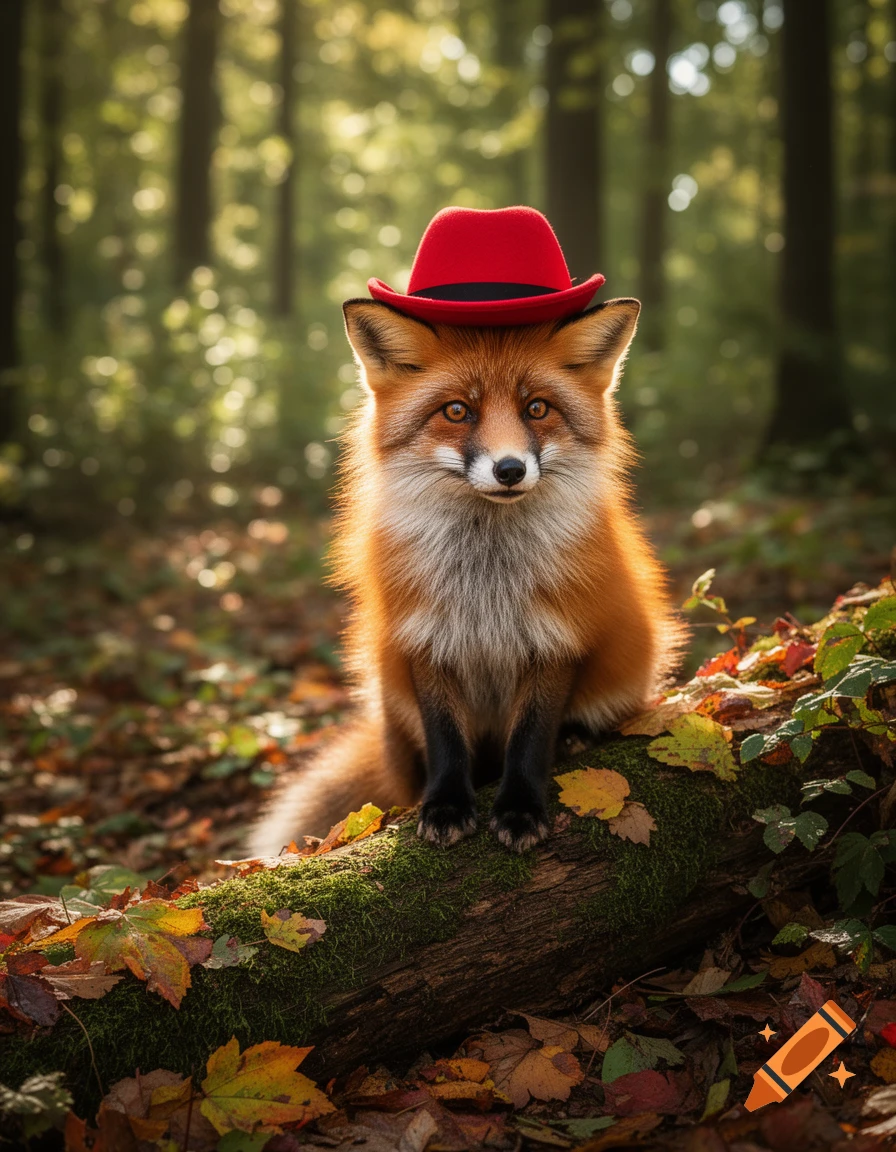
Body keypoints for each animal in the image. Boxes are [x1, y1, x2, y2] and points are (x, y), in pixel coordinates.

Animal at [247, 296, 685, 856]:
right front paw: (447, 806)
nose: (510, 469)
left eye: (536, 408)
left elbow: (531, 740)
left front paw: (520, 809)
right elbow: (446, 741)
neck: (485, 582)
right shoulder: (426, 638)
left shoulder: (556, 639)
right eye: (457, 410)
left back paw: (575, 738)